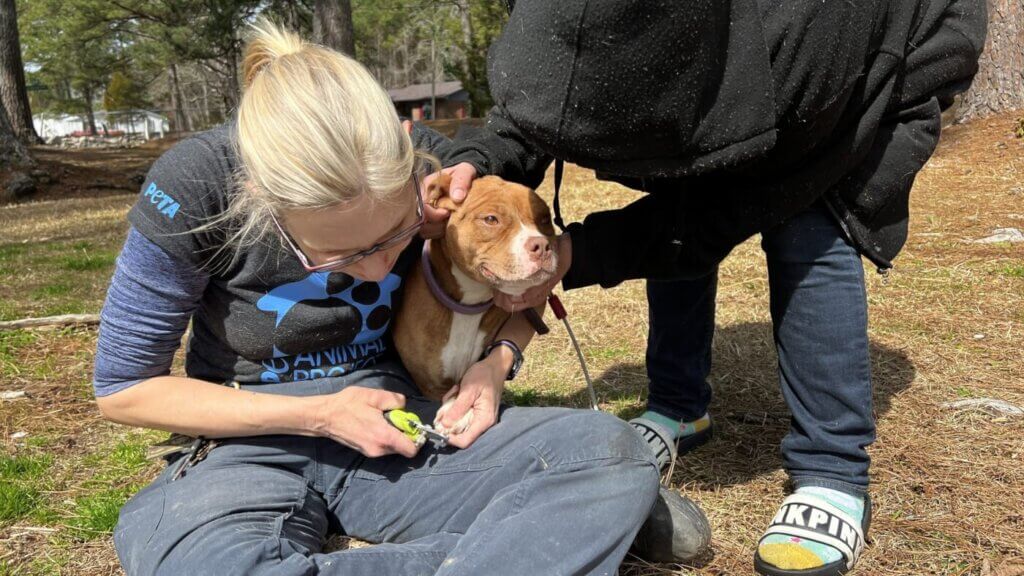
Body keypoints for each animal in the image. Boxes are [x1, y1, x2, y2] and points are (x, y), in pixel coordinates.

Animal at [395, 174, 561, 430]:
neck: (469, 303)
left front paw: (459, 409)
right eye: (491, 219)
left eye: (544, 219)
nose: (542, 245)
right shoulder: (430, 385)